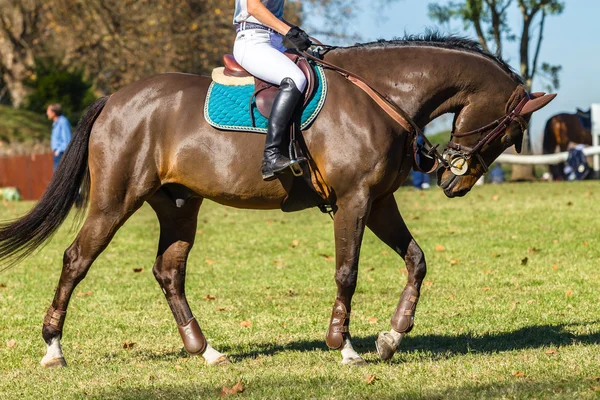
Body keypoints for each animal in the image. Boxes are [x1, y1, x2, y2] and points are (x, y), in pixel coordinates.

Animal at [0, 33, 552, 366]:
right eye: (510, 131)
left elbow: (416, 261)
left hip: (179, 206)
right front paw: (344, 346)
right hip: (116, 200)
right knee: (76, 259)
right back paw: (53, 349)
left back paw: (205, 350)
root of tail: (115, 99)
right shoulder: (354, 200)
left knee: (168, 271)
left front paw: (392, 337)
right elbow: (347, 272)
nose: (453, 181)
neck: (382, 94)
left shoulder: (379, 202)